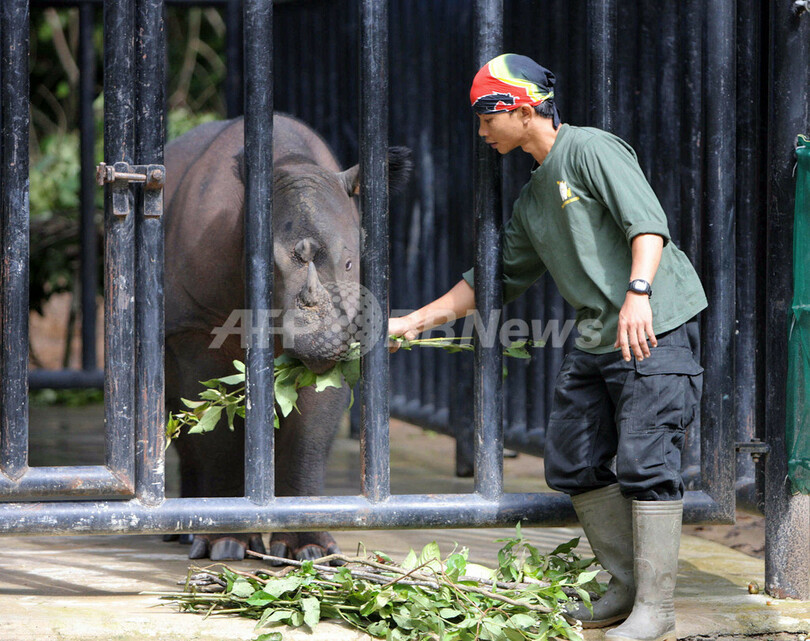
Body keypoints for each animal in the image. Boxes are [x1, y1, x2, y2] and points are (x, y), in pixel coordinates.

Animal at [163, 114, 410, 560]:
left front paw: (310, 549)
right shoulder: (195, 325)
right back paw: (191, 532)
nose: (323, 340)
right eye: (268, 270)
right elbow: (216, 429)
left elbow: (310, 433)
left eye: (352, 264)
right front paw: (225, 545)